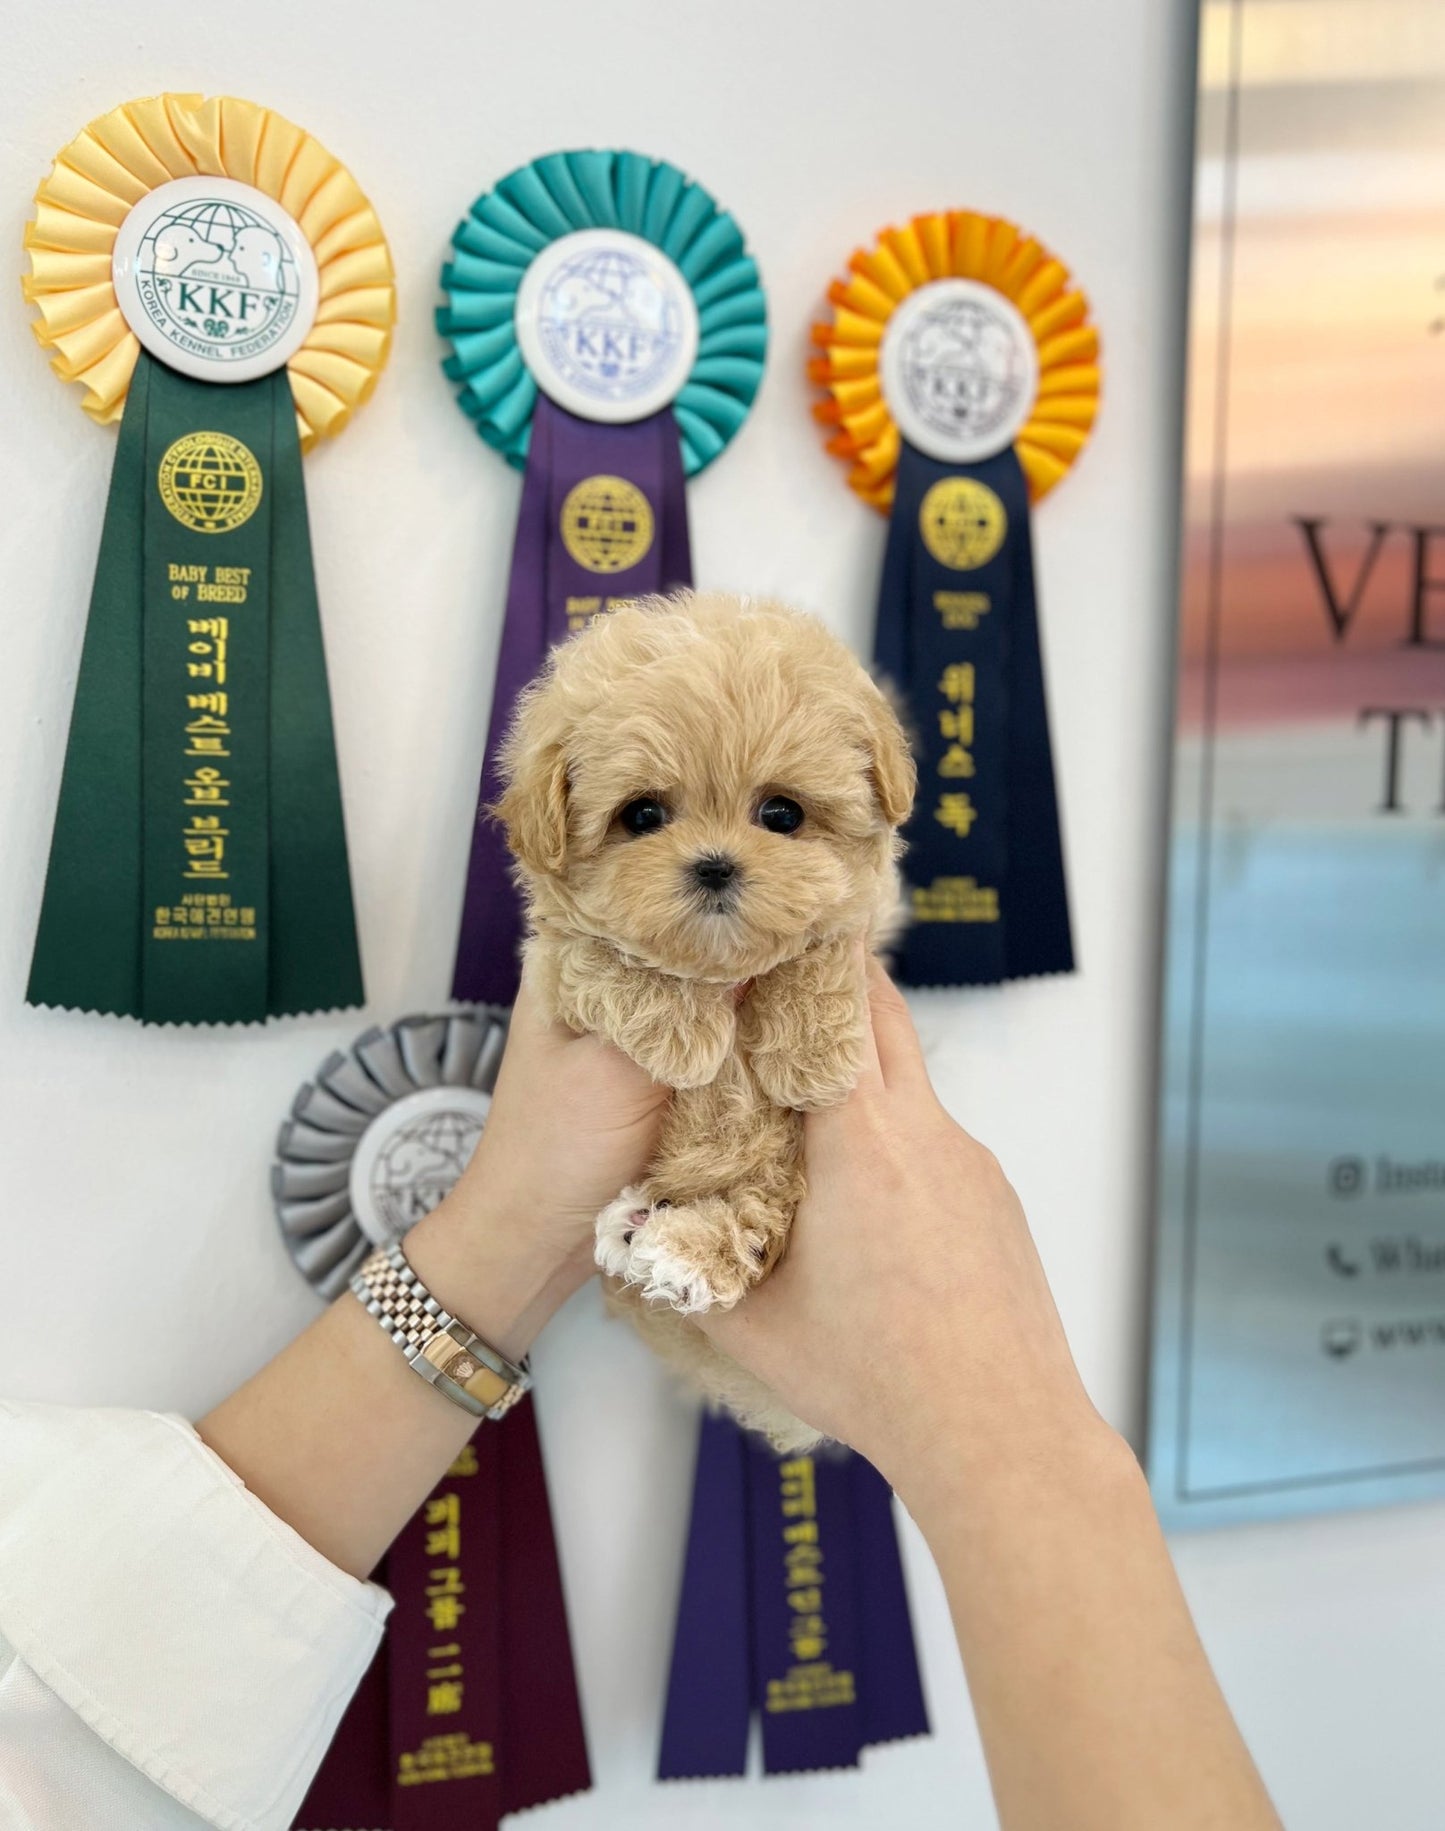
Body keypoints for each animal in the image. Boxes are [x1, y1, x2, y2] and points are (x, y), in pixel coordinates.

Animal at [498, 593, 912, 1450]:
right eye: (642, 815)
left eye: (781, 813)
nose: (715, 865)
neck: (721, 969)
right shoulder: (555, 971)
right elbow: (611, 963)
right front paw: (685, 1036)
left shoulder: (860, 926)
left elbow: (815, 949)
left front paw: (811, 1056)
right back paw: (635, 1228)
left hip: (779, 1181)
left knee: (756, 1224)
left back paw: (679, 1250)